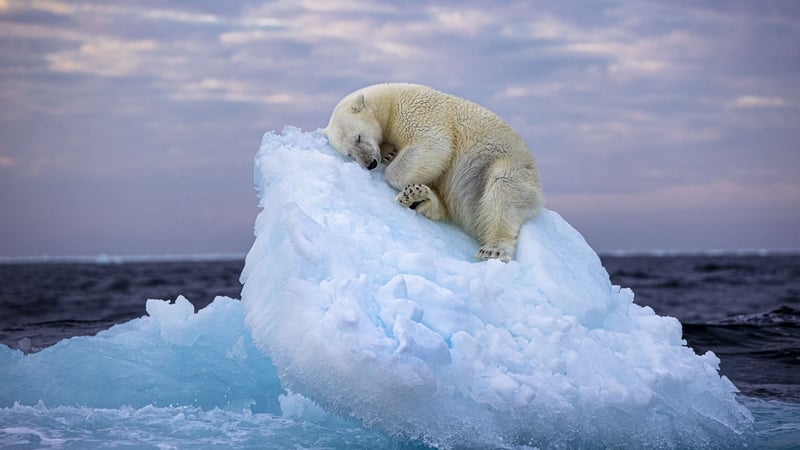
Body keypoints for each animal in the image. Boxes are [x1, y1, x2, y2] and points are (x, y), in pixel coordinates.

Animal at [323, 83, 543, 262]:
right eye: (349, 154)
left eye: (358, 137)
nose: (370, 163)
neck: (389, 102)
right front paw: (389, 153)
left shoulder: (418, 112)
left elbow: (433, 145)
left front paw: (392, 164)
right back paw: (418, 197)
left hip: (505, 164)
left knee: (503, 192)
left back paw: (494, 249)